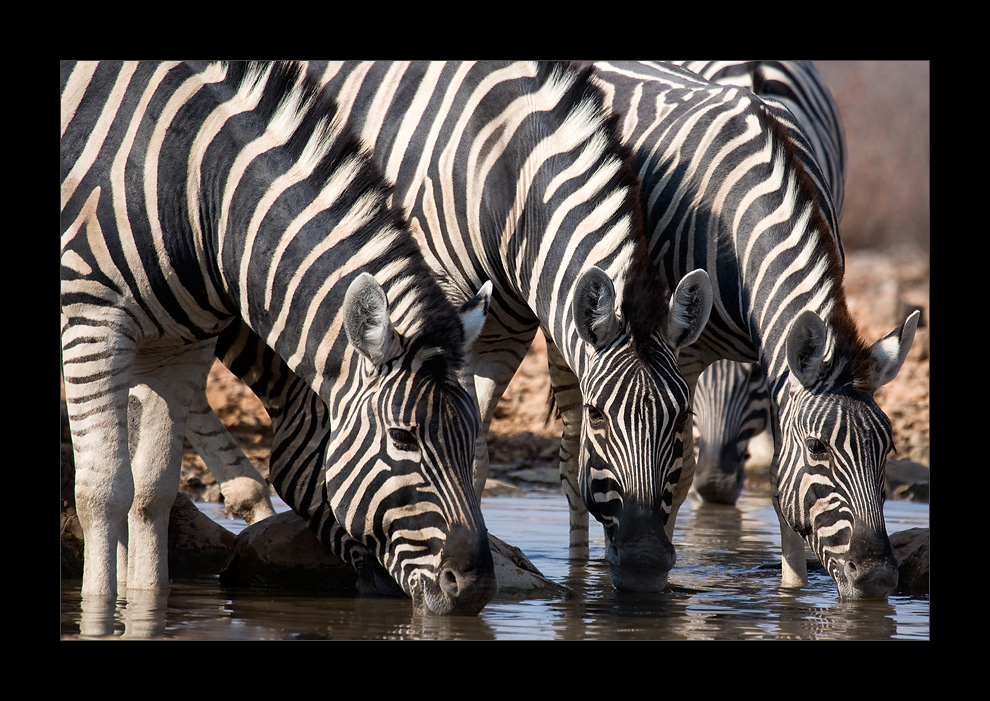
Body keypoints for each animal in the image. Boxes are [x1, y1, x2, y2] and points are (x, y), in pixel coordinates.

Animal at [59, 63, 500, 616]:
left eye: (474, 435)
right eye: (403, 438)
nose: (475, 587)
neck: (197, 193)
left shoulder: (179, 349)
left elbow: (152, 491)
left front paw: (146, 605)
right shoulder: (92, 319)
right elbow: (106, 490)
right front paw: (99, 610)